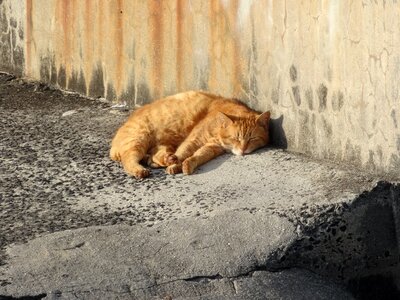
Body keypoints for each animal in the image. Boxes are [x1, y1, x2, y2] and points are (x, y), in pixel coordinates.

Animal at [111, 91, 270, 178]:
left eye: (252, 138)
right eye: (236, 138)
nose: (243, 150)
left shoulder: (212, 147)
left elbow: (198, 156)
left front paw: (186, 165)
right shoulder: (196, 138)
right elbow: (184, 152)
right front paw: (177, 165)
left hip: (163, 144)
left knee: (155, 156)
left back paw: (163, 161)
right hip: (139, 140)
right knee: (128, 160)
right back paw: (140, 170)